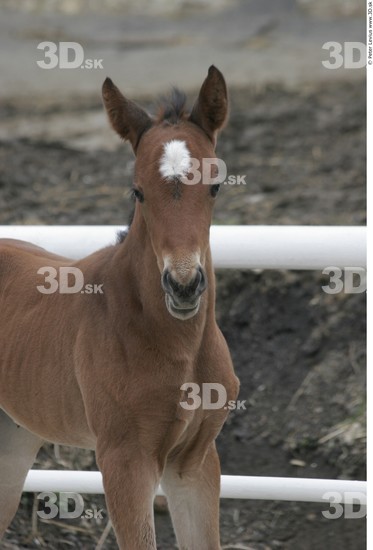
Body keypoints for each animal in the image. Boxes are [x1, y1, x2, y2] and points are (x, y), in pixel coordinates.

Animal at [0, 67, 238, 548]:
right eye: (138, 192)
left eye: (215, 185)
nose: (183, 287)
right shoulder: (125, 461)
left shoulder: (195, 463)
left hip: (13, 437)